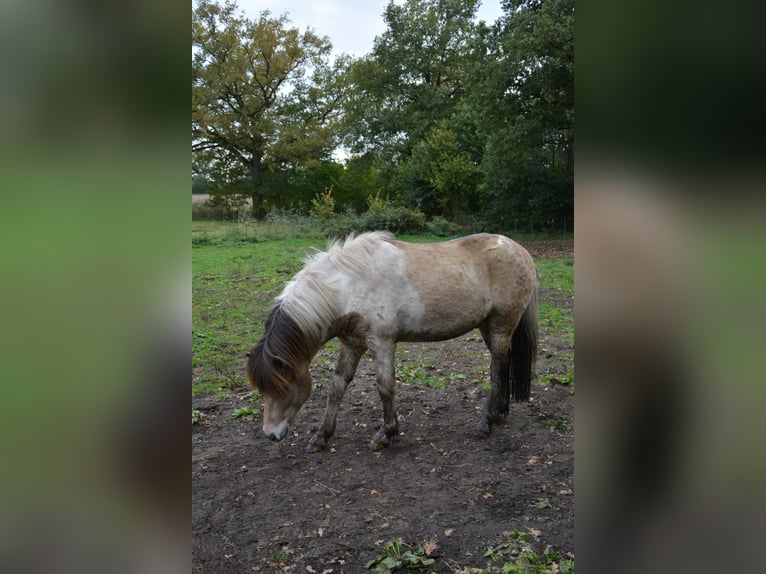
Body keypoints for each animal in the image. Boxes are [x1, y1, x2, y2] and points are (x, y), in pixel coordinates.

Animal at [246, 231, 539, 453]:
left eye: (283, 387)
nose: (271, 434)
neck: (348, 285)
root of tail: (520, 251)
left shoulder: (382, 342)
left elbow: (385, 386)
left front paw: (385, 434)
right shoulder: (352, 344)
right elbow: (336, 387)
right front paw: (321, 437)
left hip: (501, 326)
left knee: (496, 371)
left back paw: (485, 424)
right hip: (489, 328)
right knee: (503, 364)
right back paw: (500, 412)